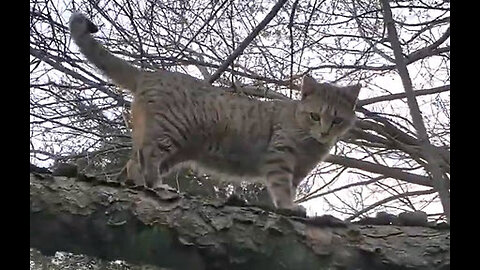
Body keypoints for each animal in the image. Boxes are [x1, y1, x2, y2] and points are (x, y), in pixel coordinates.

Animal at [68, 13, 360, 210]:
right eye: (315, 116)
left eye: (337, 120)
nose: (324, 132)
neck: (309, 142)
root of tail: (148, 74)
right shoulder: (280, 158)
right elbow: (281, 189)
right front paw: (289, 208)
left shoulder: (297, 173)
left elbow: (289, 189)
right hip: (168, 133)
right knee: (146, 159)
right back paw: (158, 187)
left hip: (174, 148)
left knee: (133, 163)